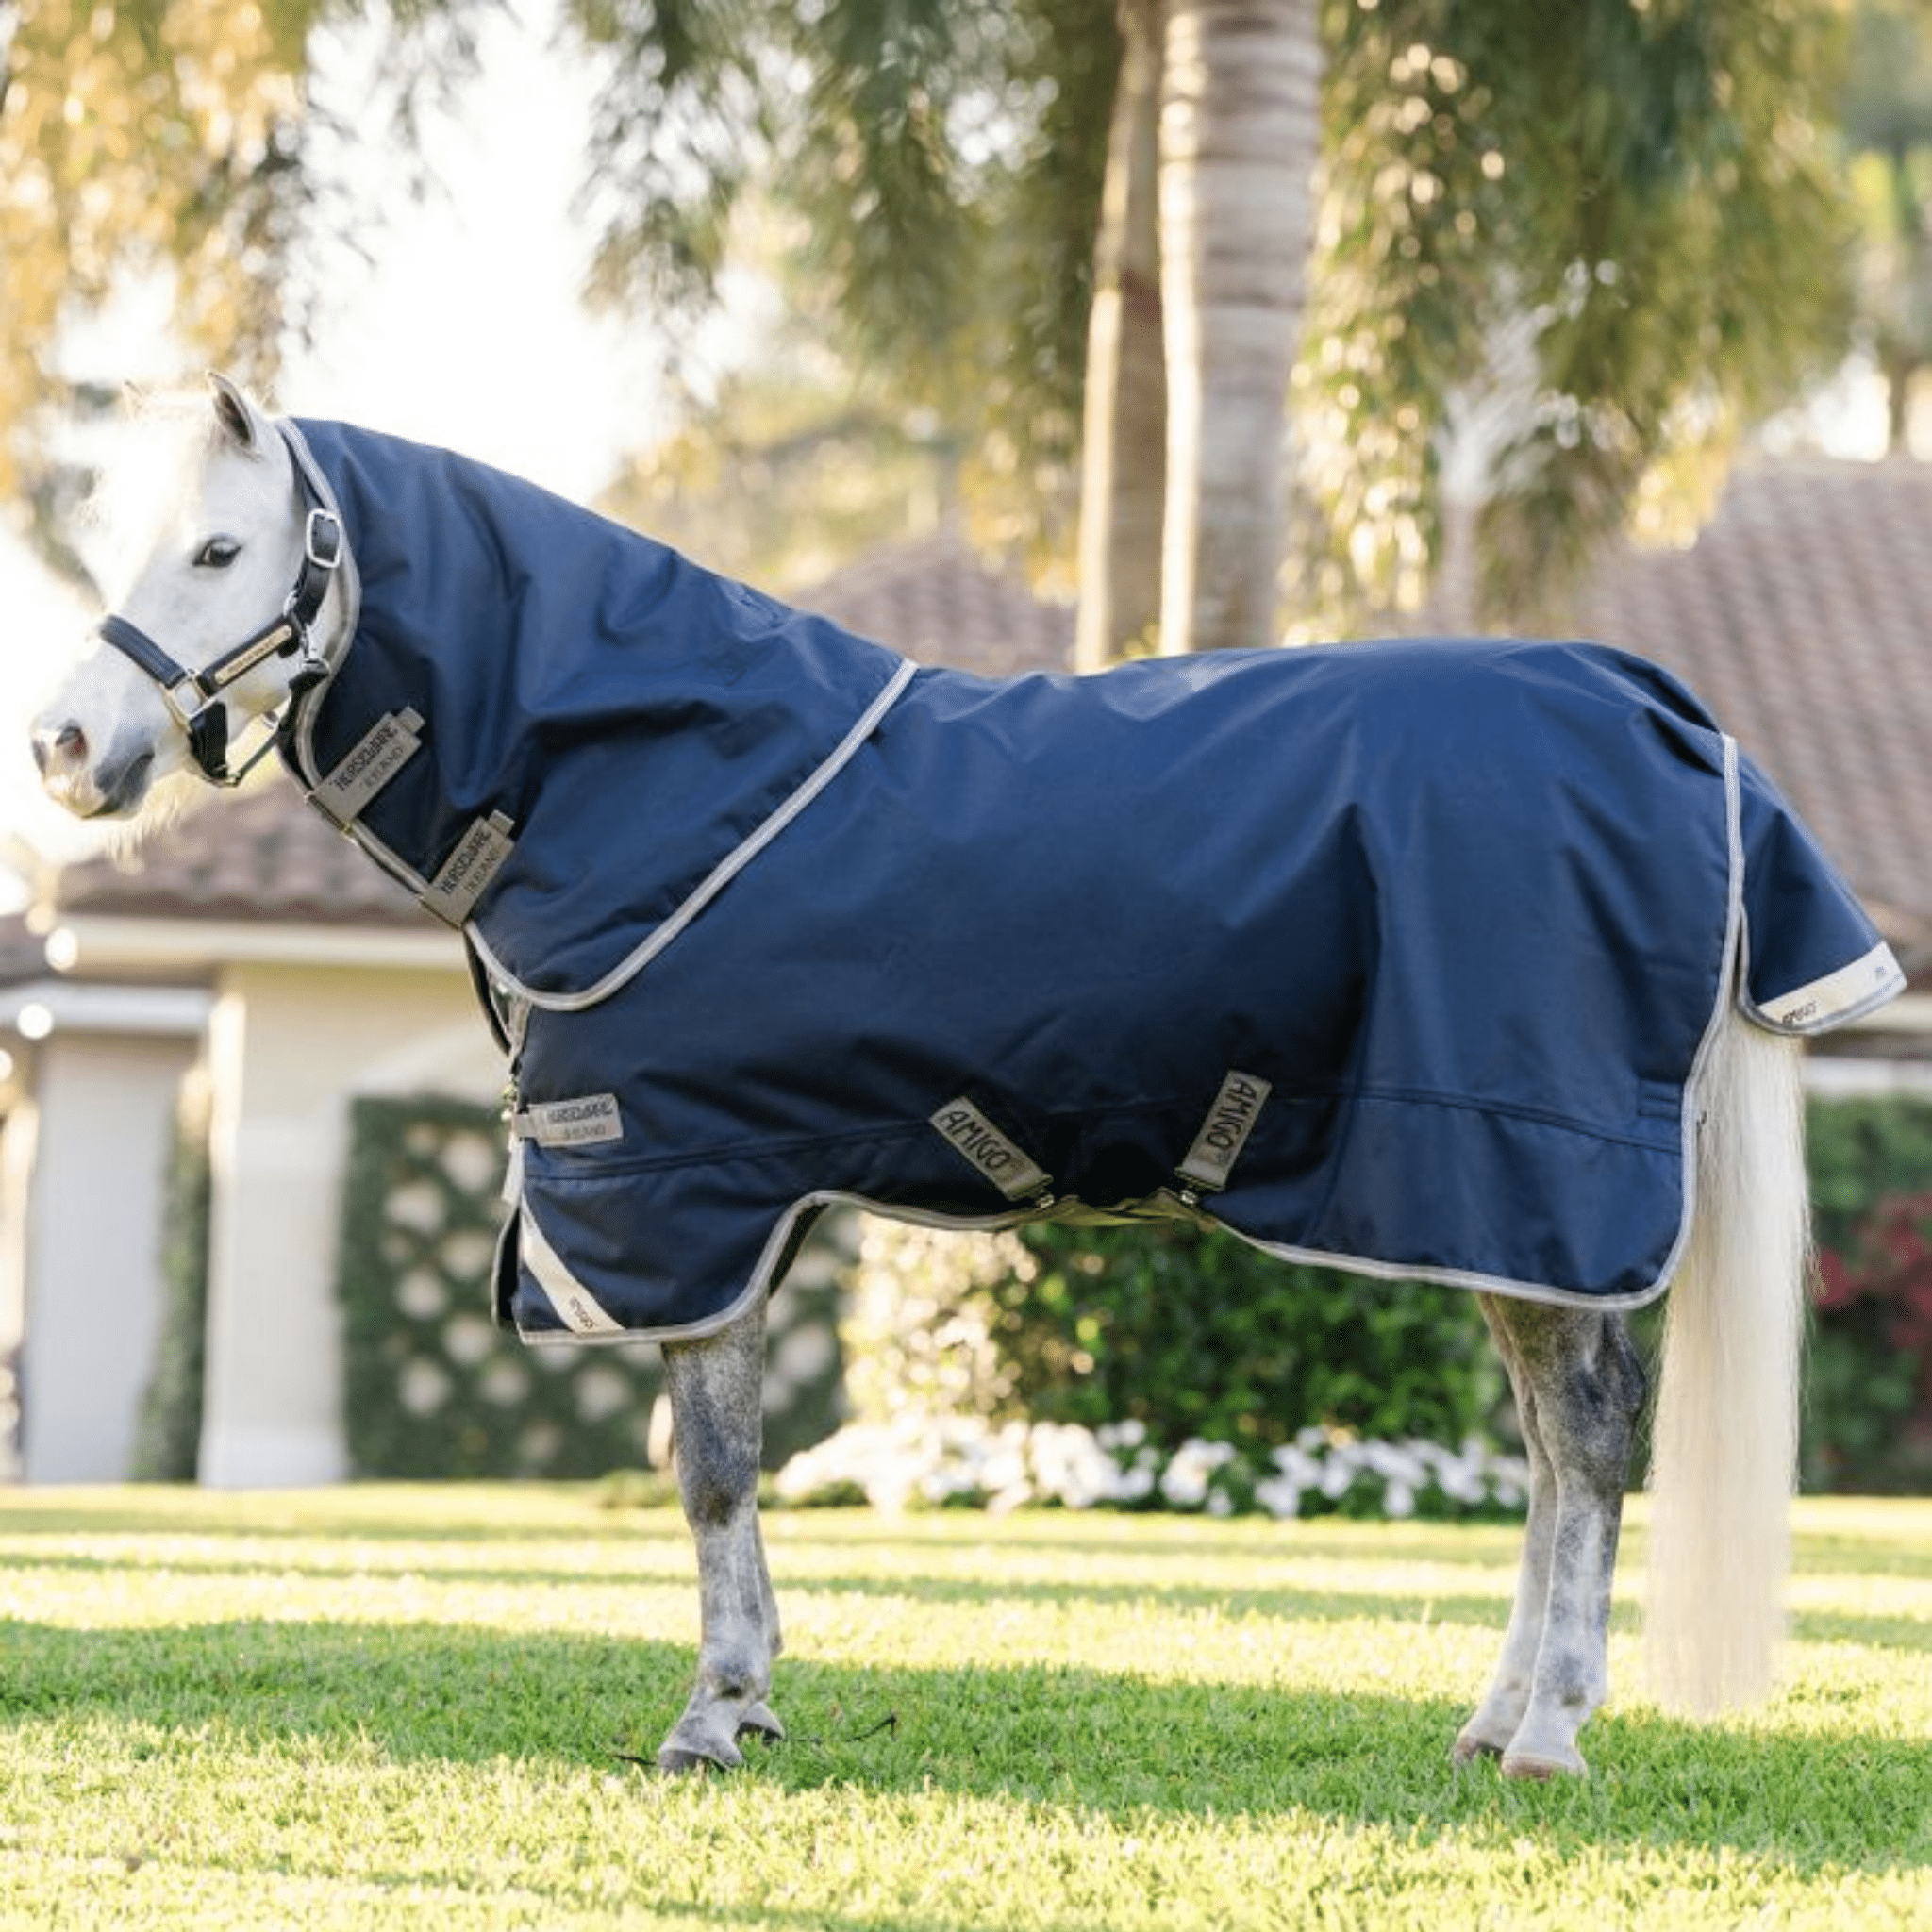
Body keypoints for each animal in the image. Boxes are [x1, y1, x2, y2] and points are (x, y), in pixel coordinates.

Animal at [31, 375, 1902, 1780]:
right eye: (122, 539)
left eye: (221, 546)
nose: (63, 749)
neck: (643, 777)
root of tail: (1674, 720)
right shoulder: (727, 1206)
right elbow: (718, 1467)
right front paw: (750, 1698)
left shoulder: (682, 1197)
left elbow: (707, 1471)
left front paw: (712, 1715)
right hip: (1495, 1214)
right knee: (1548, 1450)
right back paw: (1494, 1718)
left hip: (1525, 1179)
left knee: (1584, 1445)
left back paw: (1547, 1735)